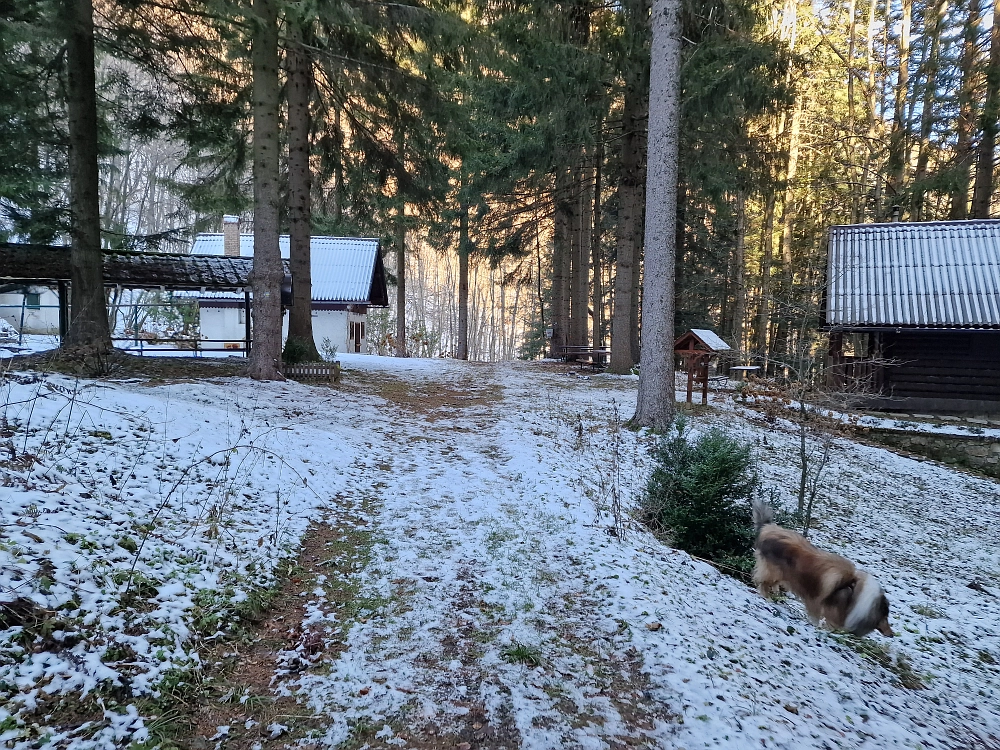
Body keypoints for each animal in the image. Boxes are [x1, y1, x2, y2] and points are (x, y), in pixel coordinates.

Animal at [752, 502, 896, 636]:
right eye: (885, 617)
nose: (892, 634)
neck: (854, 594)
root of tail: (768, 528)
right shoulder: (831, 611)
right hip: (773, 571)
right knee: (763, 583)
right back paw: (767, 597)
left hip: (783, 574)